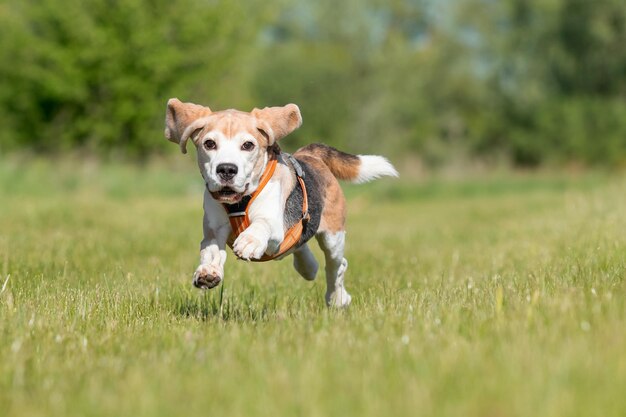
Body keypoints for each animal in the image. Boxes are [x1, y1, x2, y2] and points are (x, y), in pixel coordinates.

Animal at [163, 97, 398, 306]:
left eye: (248, 145)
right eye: (209, 144)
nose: (227, 169)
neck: (240, 201)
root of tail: (310, 155)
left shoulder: (274, 225)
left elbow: (262, 224)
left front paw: (249, 242)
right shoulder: (214, 231)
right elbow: (210, 250)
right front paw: (208, 272)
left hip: (333, 236)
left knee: (337, 266)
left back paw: (337, 299)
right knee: (302, 249)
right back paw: (308, 266)